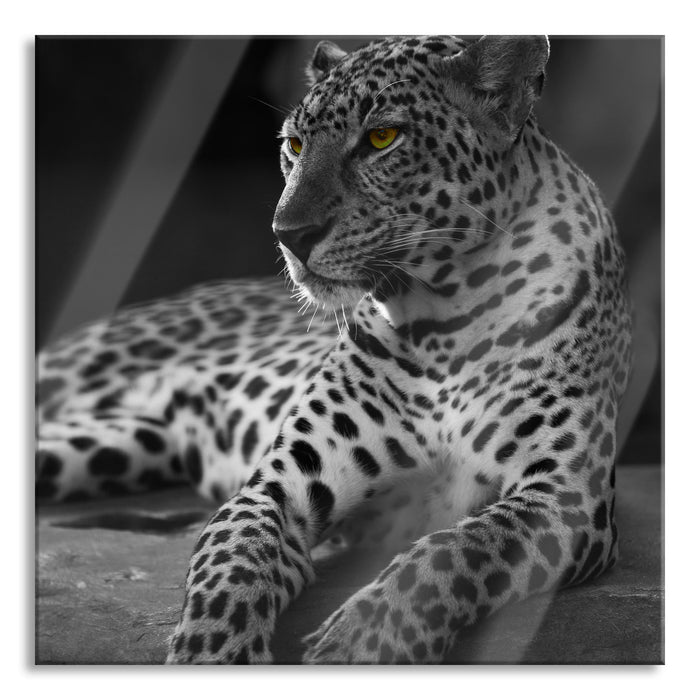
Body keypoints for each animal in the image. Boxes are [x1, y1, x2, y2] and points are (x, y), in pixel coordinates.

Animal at [36, 35, 632, 664]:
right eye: (294, 146)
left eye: (381, 138)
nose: (288, 234)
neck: (443, 318)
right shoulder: (279, 486)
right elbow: (231, 561)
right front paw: (213, 654)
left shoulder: (565, 498)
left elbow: (452, 550)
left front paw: (361, 643)